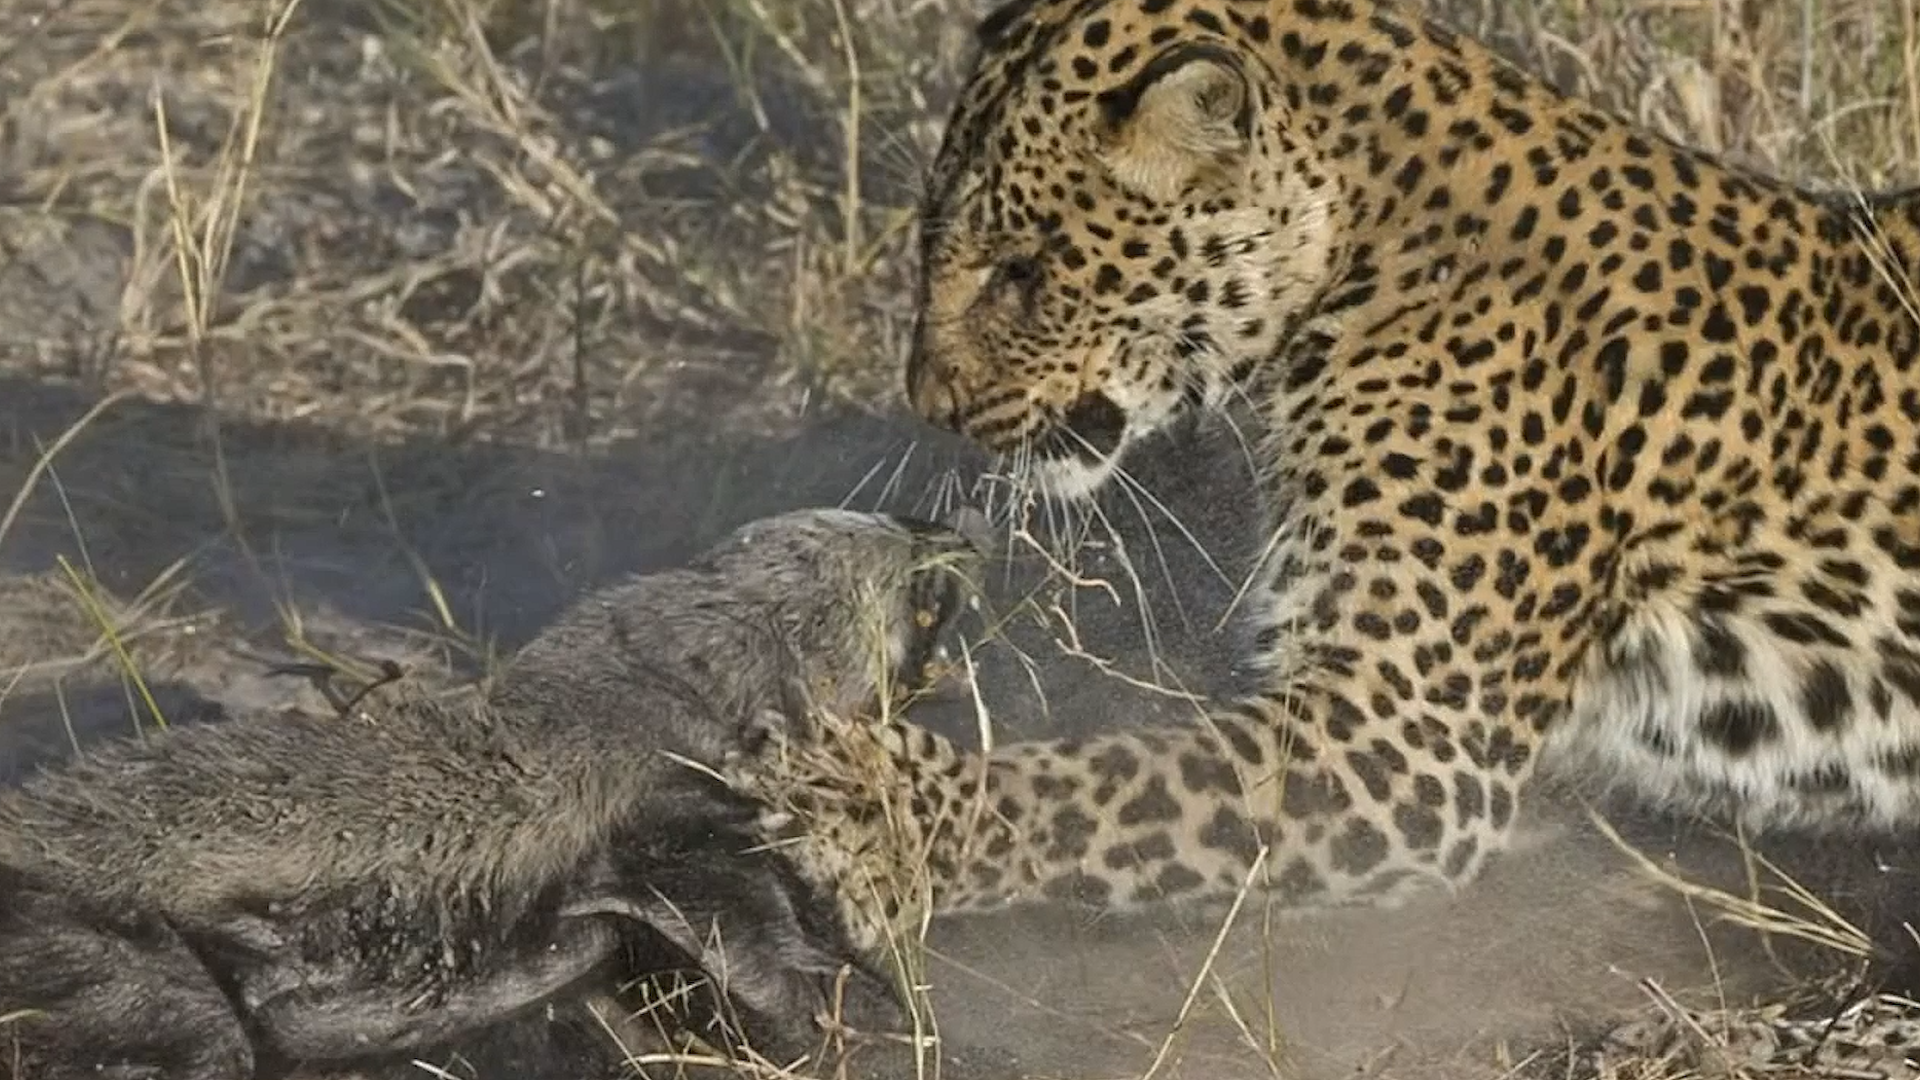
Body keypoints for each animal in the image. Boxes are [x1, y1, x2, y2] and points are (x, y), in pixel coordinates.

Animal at [721, 0, 1920, 941]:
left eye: (1023, 271)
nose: (928, 400)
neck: (1373, 242)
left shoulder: (1402, 736)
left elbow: (1112, 780)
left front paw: (873, 809)